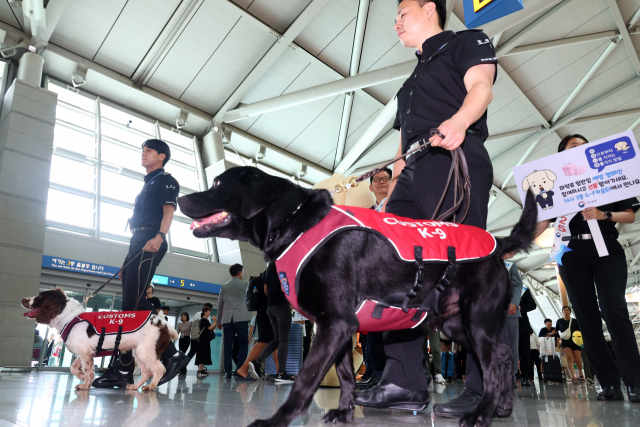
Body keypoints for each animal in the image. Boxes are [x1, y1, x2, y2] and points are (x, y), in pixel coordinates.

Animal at [22, 290, 178, 392]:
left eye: (40, 296)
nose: (23, 299)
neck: (68, 317)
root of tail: (162, 322)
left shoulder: (85, 353)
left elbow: (88, 371)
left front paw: (85, 385)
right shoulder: (86, 352)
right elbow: (74, 368)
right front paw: (81, 376)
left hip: (145, 352)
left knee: (159, 369)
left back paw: (151, 386)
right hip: (139, 353)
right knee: (146, 373)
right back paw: (134, 387)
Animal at [178, 167, 536, 427]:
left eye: (218, 184)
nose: (180, 198)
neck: (298, 221)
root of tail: (499, 244)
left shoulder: (334, 324)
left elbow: (305, 380)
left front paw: (276, 421)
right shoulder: (341, 328)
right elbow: (348, 378)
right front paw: (345, 413)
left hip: (476, 321)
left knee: (492, 366)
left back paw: (481, 414)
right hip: (455, 325)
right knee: (505, 354)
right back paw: (504, 407)